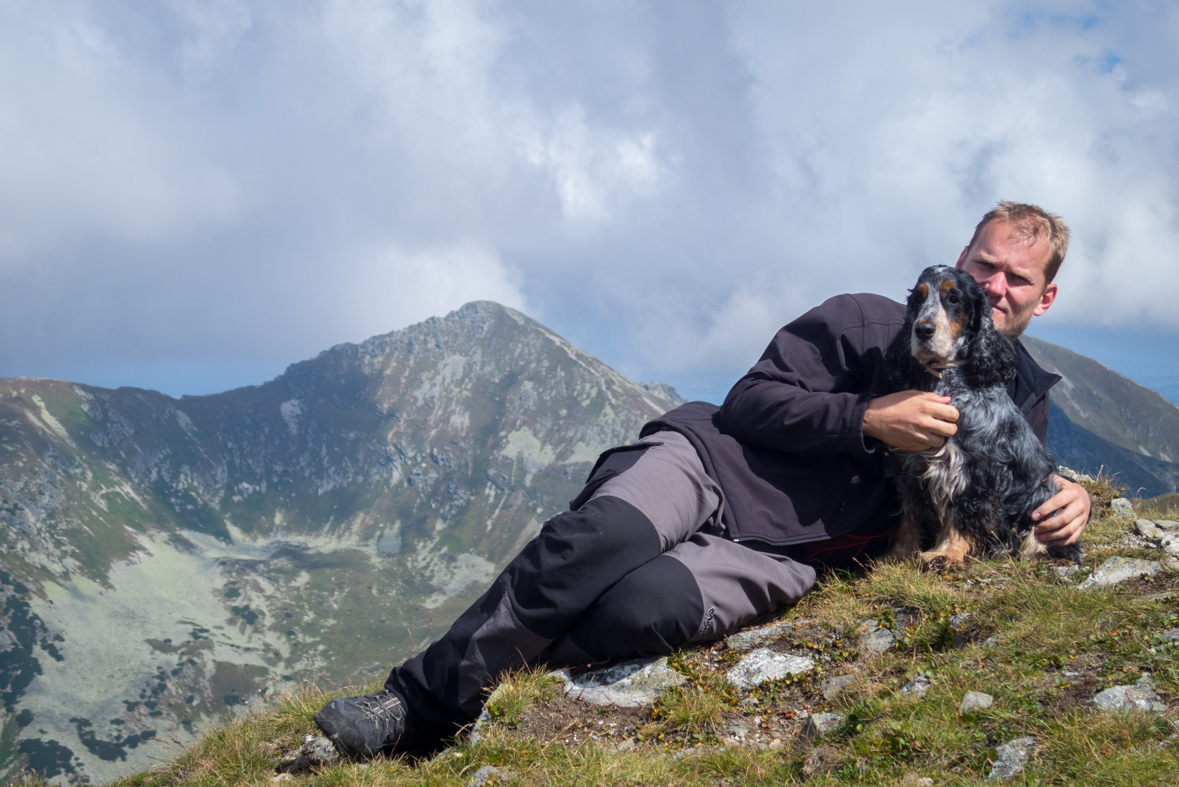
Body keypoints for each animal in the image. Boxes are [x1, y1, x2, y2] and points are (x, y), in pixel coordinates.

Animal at [881, 266, 1079, 572]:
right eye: (918, 299)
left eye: (953, 298)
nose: (923, 329)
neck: (945, 379)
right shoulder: (909, 464)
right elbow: (908, 515)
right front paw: (898, 555)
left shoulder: (975, 468)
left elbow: (962, 513)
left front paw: (946, 554)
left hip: (1044, 495)